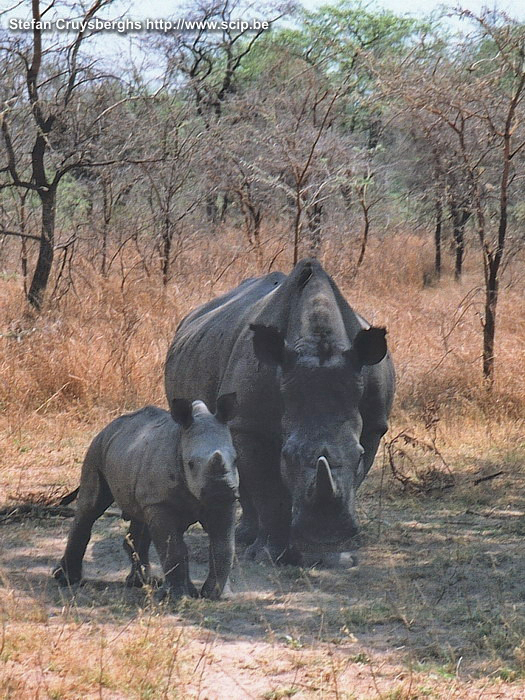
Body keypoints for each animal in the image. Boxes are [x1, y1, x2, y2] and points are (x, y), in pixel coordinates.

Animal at [53, 396, 237, 600]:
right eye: (190, 464)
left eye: (236, 460)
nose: (219, 491)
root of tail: (108, 426)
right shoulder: (160, 503)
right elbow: (174, 549)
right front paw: (178, 597)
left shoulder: (225, 503)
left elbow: (223, 546)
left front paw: (218, 596)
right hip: (97, 449)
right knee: (91, 508)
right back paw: (66, 580)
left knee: (140, 520)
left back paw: (142, 582)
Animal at [165, 260, 392, 568]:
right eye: (286, 456)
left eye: (358, 455)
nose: (324, 537)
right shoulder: (250, 425)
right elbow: (269, 491)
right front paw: (267, 556)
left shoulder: (373, 426)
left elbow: (353, 477)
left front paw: (336, 555)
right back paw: (246, 538)